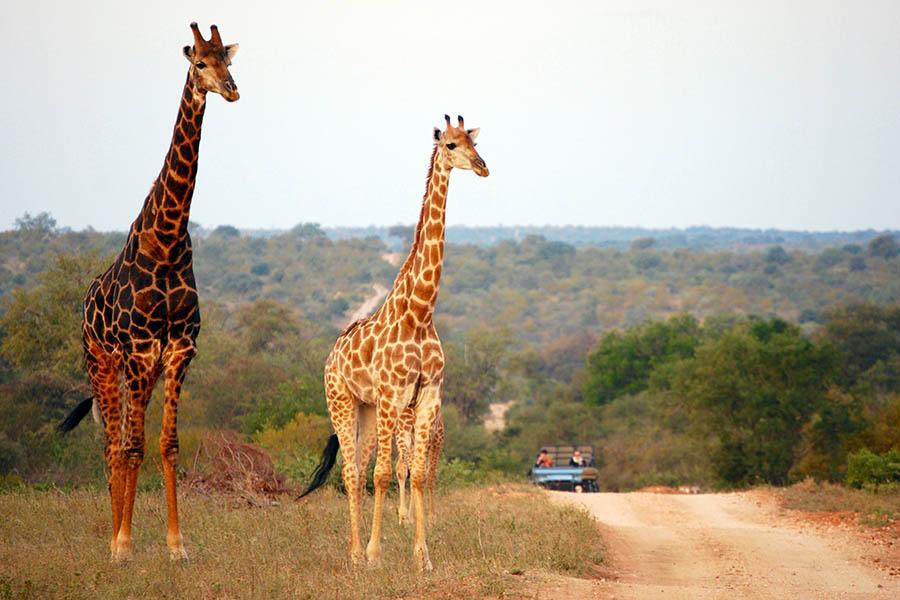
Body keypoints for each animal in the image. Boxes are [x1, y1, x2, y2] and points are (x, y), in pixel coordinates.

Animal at [58, 23, 239, 562]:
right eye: (199, 63)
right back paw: (114, 535)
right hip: (101, 362)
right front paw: (123, 544)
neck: (167, 240)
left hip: (141, 371)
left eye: (228, 59)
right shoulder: (138, 351)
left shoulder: (178, 351)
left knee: (123, 437)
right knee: (112, 443)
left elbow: (167, 444)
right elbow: (133, 446)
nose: (231, 90)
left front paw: (176, 546)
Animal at [301, 115, 488, 571]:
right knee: (353, 471)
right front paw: (375, 553)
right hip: (342, 401)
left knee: (359, 466)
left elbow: (417, 473)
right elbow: (383, 474)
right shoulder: (392, 396)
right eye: (452, 145)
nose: (483, 167)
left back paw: (356, 550)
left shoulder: (427, 396)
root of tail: (331, 356)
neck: (419, 313)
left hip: (367, 410)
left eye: (474, 142)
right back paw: (354, 553)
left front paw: (423, 557)